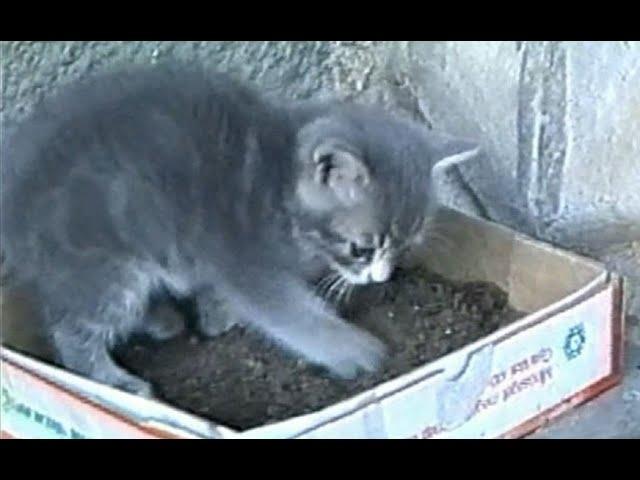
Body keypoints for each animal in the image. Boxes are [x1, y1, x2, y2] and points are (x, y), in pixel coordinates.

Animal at [1, 62, 480, 396]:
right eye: (360, 248)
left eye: (404, 247)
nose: (381, 278)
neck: (278, 180)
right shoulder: (242, 259)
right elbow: (288, 311)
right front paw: (351, 349)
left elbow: (216, 292)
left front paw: (216, 316)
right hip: (102, 263)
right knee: (74, 326)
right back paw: (114, 378)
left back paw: (161, 319)